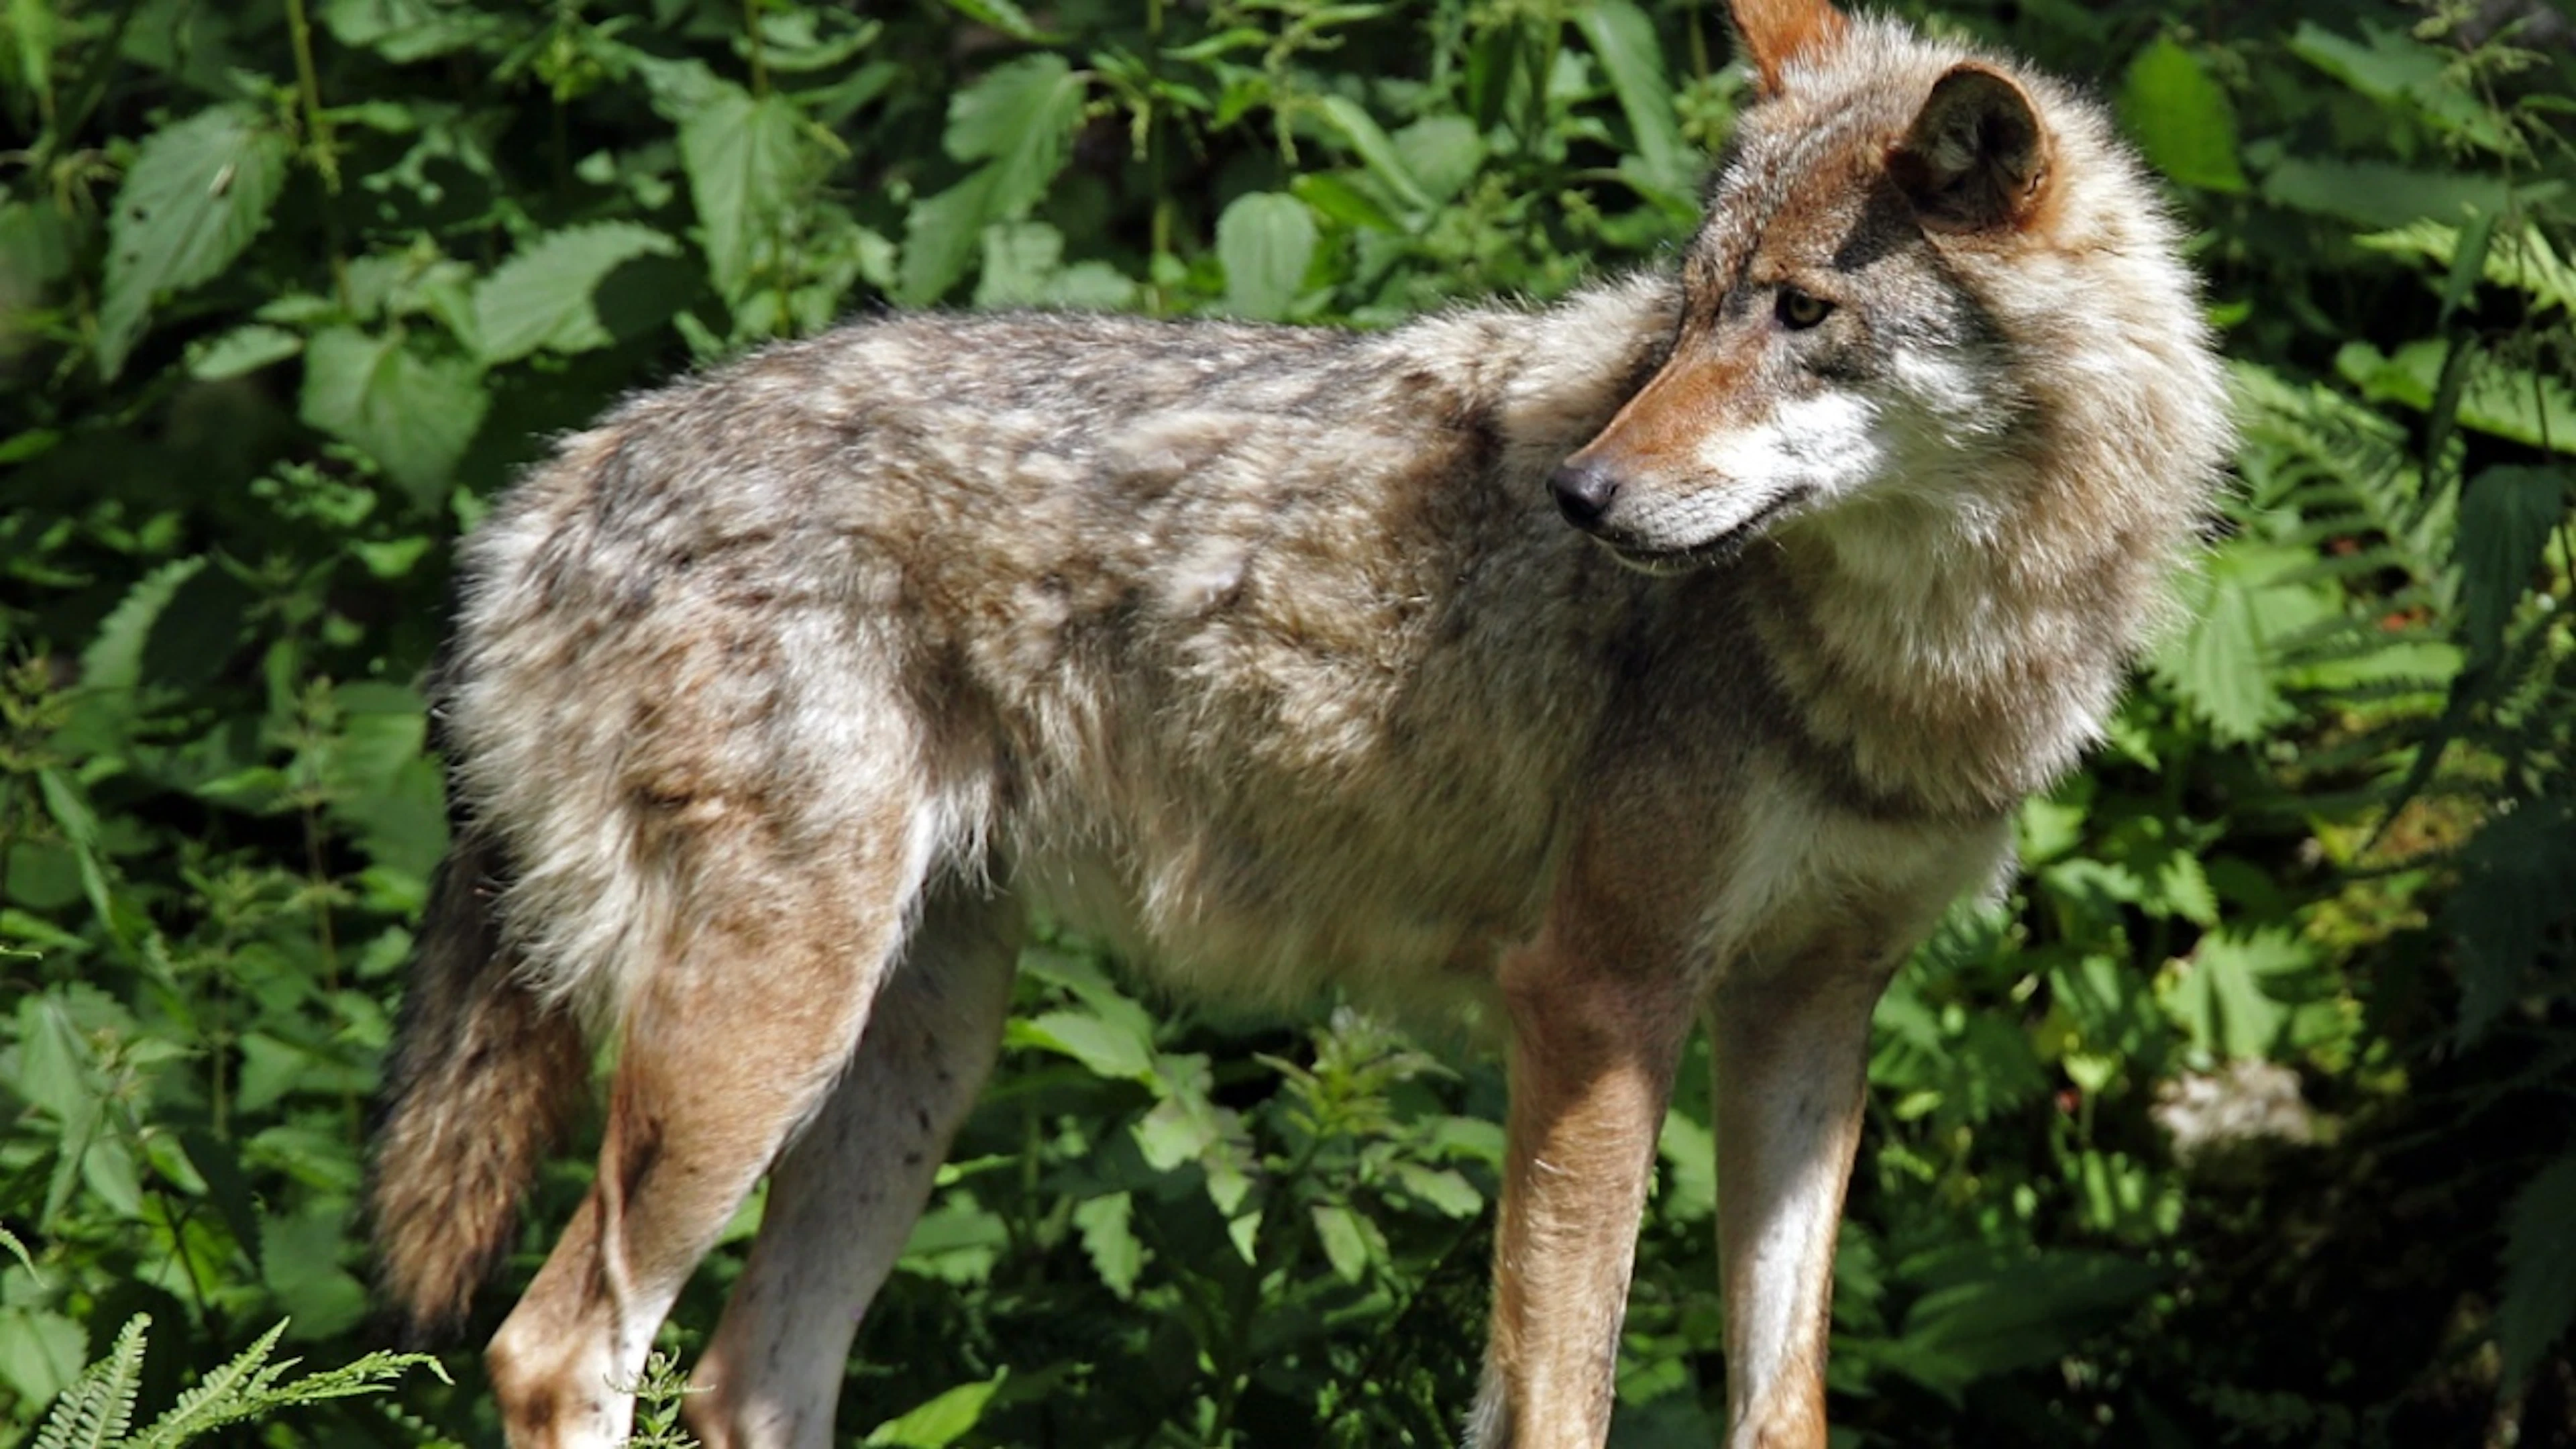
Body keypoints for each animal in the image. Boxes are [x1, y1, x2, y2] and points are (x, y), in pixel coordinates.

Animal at [367, 0, 2230, 1444]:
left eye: (1799, 315)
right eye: (1692, 301)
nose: (1577, 496)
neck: (1917, 658)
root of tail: (558, 476)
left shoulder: (1811, 1013)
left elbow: (1783, 1401)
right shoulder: (1595, 996)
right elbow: (1558, 1394)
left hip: (916, 1056)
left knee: (748, 1379)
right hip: (764, 1034)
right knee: (557, 1349)